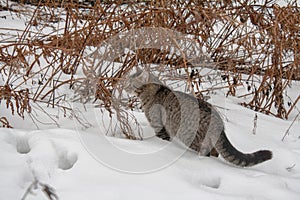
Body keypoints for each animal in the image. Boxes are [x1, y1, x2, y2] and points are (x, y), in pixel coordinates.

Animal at [124, 70, 272, 167]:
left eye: (130, 84)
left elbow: (162, 138)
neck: (155, 89)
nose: (124, 87)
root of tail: (219, 123)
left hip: (192, 138)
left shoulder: (158, 125)